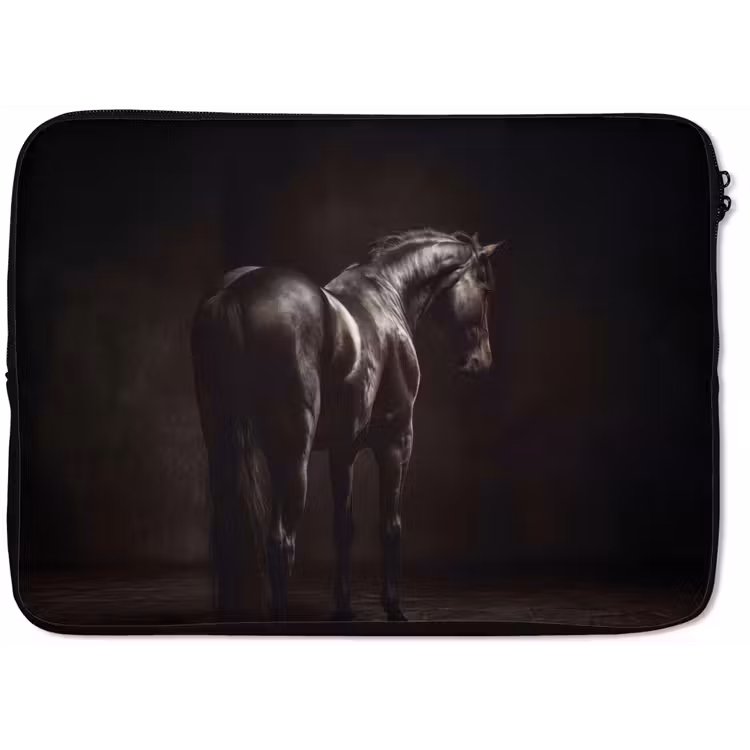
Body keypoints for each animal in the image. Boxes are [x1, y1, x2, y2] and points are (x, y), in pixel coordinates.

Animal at [191, 229, 507, 622]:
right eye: (485, 289)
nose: (482, 362)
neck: (387, 293)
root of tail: (233, 293)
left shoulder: (343, 449)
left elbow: (344, 527)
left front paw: (344, 608)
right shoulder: (396, 441)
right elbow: (390, 525)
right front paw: (393, 608)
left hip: (222, 446)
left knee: (226, 538)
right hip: (291, 457)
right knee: (281, 541)